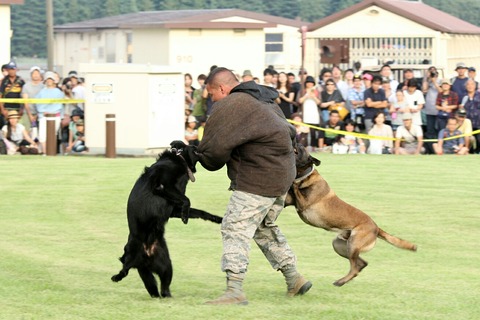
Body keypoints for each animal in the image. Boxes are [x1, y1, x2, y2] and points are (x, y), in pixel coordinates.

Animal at [112, 141, 223, 298]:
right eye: (194, 146)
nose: (199, 144)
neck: (179, 160)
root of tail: (146, 254)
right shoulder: (161, 186)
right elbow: (187, 200)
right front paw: (185, 216)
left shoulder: (173, 209)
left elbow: (199, 211)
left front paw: (217, 218)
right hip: (132, 252)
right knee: (125, 268)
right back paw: (117, 276)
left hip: (165, 267)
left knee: (161, 288)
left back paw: (166, 297)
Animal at [284, 144, 416, 286]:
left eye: (300, 149)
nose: (297, 143)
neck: (305, 175)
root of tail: (376, 227)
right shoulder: (292, 202)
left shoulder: (304, 203)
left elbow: (295, 186)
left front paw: (293, 182)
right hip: (340, 245)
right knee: (361, 263)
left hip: (353, 244)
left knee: (355, 268)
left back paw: (340, 281)